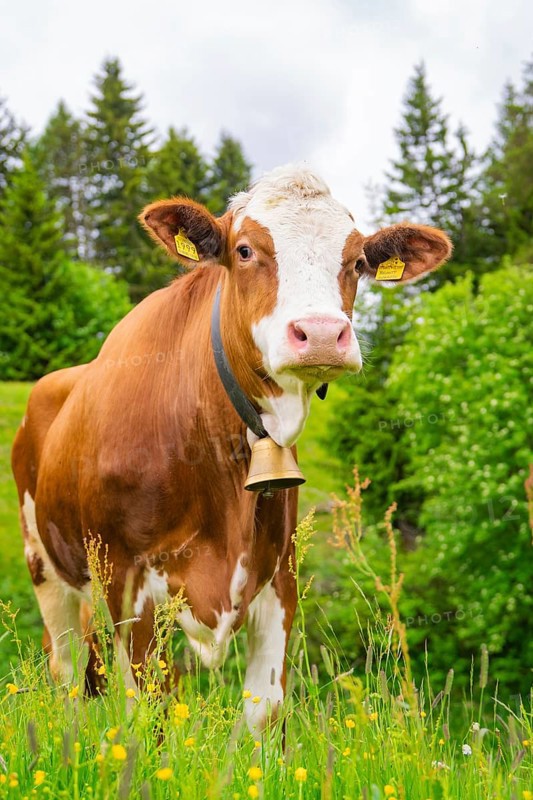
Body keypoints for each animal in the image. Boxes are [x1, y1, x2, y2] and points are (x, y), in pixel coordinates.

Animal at [11, 165, 451, 731]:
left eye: (357, 262)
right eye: (244, 250)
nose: (323, 334)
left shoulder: (280, 576)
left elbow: (264, 710)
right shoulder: (126, 580)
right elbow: (150, 711)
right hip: (45, 565)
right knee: (65, 669)